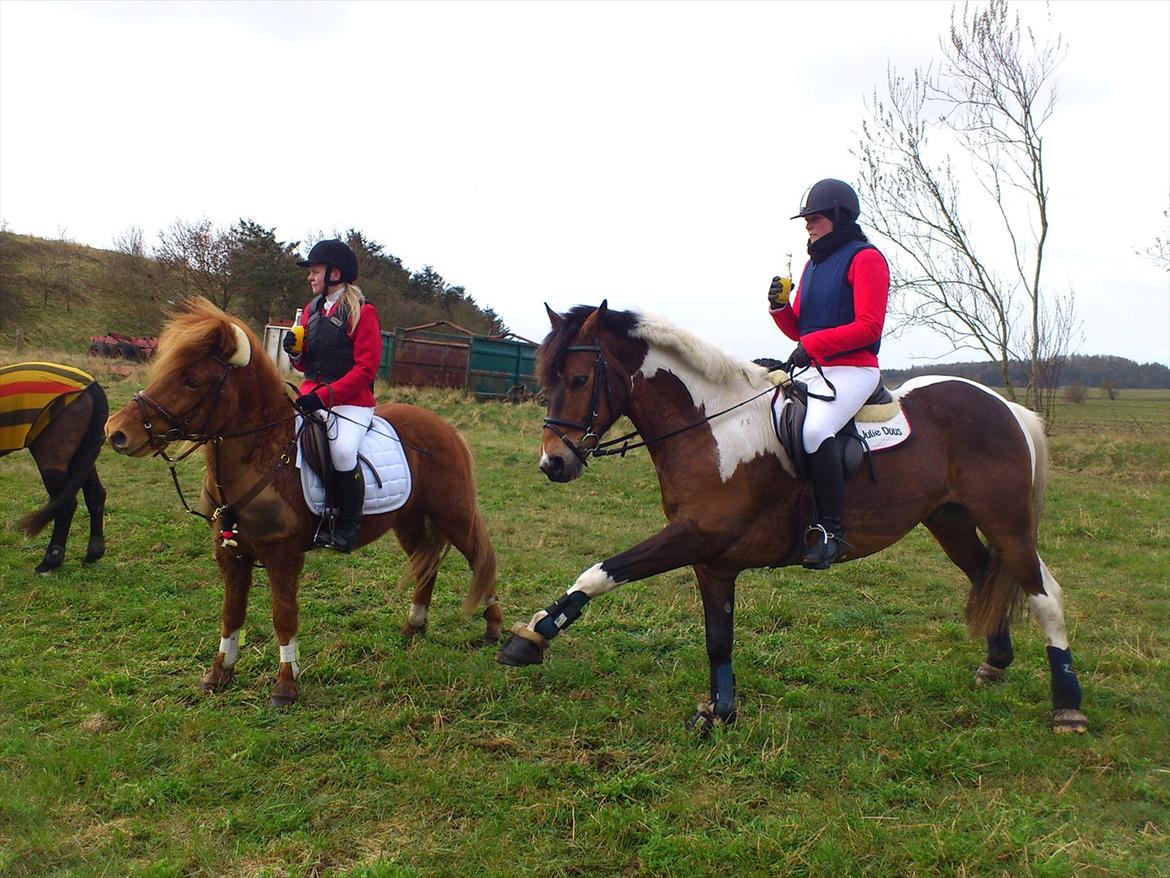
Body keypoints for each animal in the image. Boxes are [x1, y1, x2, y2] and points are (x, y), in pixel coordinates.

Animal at [1, 360, 108, 573]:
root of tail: (90, 386)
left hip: (53, 458)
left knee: (66, 505)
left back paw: (50, 560)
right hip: (83, 457)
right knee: (95, 495)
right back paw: (93, 553)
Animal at [104, 299, 498, 707]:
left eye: (191, 381)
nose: (116, 432)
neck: (263, 452)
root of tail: (446, 427)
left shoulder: (283, 555)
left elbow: (284, 616)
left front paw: (285, 684)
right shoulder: (229, 553)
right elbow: (231, 614)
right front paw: (219, 673)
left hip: (453, 515)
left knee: (482, 560)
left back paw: (494, 631)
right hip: (408, 521)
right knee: (426, 565)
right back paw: (413, 626)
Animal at [496, 302, 1085, 735]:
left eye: (577, 378)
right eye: (547, 378)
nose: (553, 463)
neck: (711, 425)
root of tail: (1007, 408)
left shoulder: (693, 537)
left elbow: (601, 571)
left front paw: (531, 637)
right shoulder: (711, 560)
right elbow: (718, 636)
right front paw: (719, 713)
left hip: (1007, 524)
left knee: (1044, 594)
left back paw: (1068, 706)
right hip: (951, 521)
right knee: (987, 576)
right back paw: (996, 663)